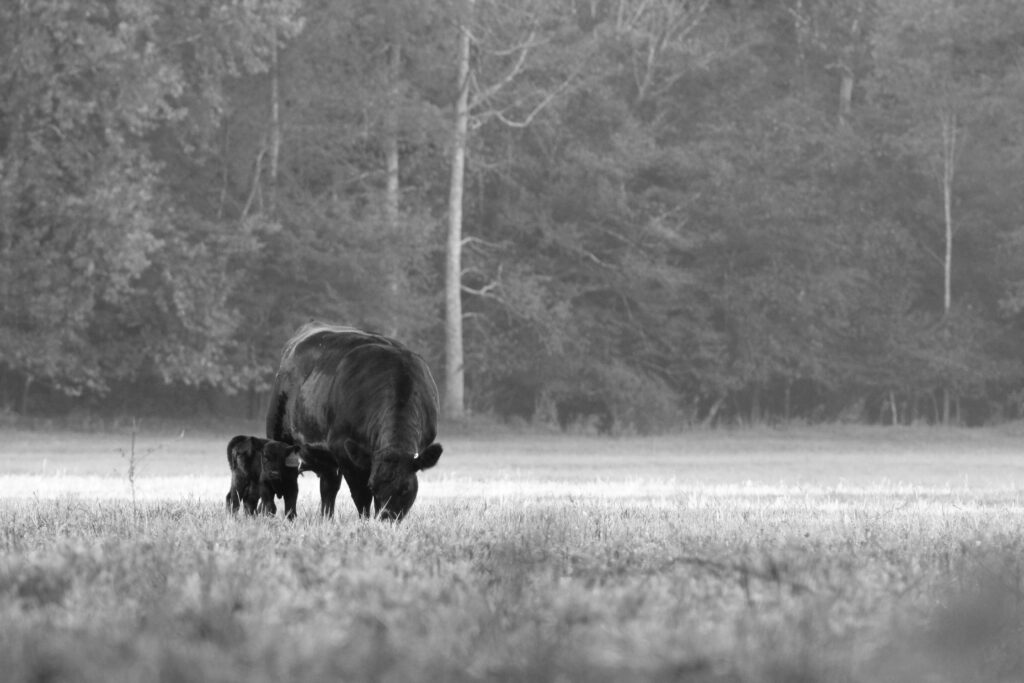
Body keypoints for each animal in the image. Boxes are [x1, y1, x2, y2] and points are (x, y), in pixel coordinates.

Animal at [266, 323, 443, 521]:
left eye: (405, 489)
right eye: (373, 485)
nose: (386, 518)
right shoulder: (343, 450)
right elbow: (361, 496)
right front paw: (365, 522)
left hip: (326, 459)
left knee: (328, 487)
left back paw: (325, 519)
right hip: (278, 436)